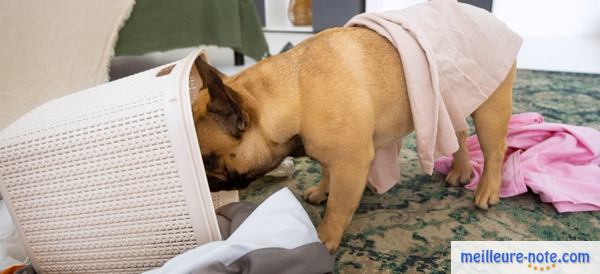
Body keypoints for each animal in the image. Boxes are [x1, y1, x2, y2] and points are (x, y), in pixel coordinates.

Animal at [192, 26, 516, 252]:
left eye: (206, 160)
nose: (204, 182)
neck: (296, 94)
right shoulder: (328, 152)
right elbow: (325, 171)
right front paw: (321, 191)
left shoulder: (352, 163)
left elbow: (339, 206)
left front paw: (324, 238)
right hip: (451, 101)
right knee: (459, 134)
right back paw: (461, 171)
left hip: (490, 107)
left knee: (496, 150)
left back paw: (487, 190)